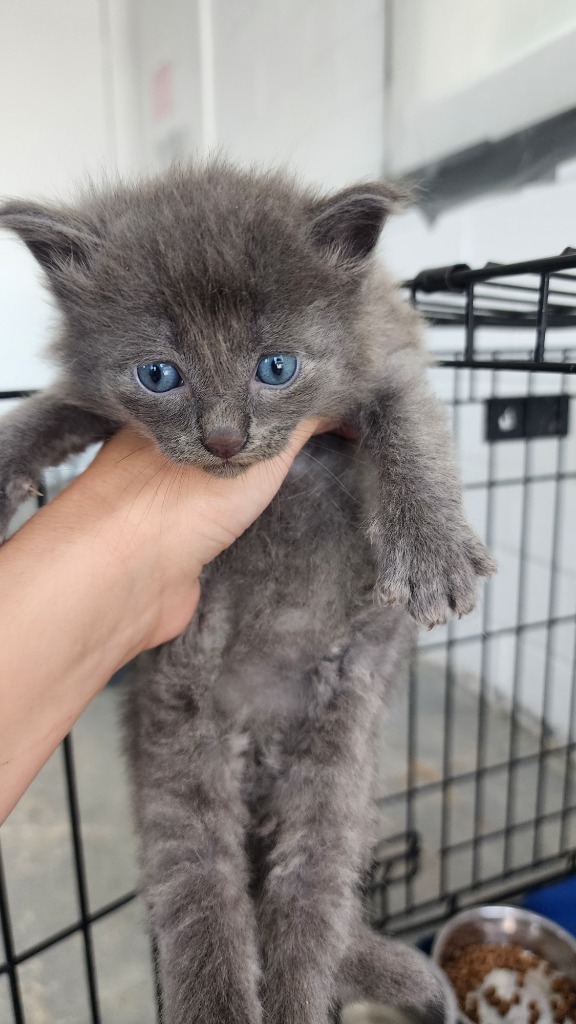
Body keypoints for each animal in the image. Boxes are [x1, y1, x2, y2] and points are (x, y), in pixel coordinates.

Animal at [1, 167, 494, 1024]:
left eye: (276, 368)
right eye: (158, 375)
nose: (225, 438)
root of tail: (261, 736)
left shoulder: (388, 355)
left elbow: (409, 423)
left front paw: (432, 547)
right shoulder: (98, 403)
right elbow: (44, 408)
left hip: (338, 753)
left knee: (307, 902)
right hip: (180, 733)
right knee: (202, 888)